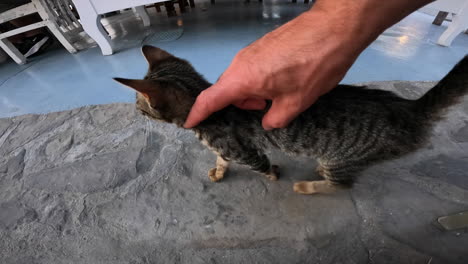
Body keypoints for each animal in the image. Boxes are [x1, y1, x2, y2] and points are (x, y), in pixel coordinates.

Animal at [114, 45, 468, 194]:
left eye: (139, 105)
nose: (133, 110)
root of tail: (411, 108)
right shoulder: (227, 148)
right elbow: (220, 158)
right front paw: (218, 170)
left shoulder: (247, 150)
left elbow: (261, 165)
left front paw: (272, 175)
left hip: (346, 158)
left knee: (342, 185)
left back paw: (308, 186)